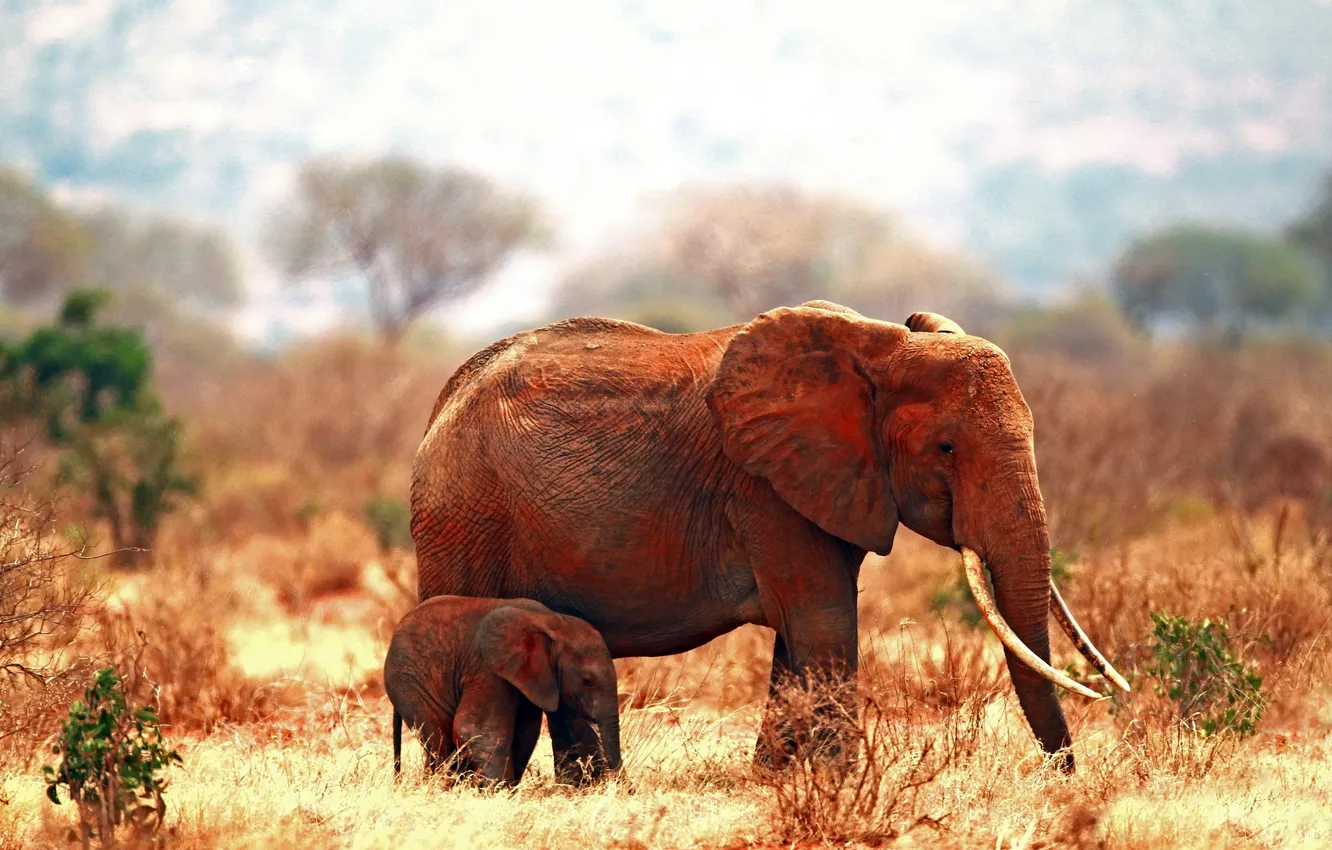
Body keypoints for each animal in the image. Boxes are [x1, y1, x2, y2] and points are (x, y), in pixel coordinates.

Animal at [384, 595, 622, 786]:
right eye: (588, 680)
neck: (548, 620)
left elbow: (526, 733)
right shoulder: (487, 668)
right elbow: (476, 730)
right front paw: (498, 792)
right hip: (408, 682)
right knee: (440, 740)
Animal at [409, 301, 1127, 772]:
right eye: (946, 448)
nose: (1062, 776)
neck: (878, 347)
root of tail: (442, 403)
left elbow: (801, 634)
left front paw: (775, 779)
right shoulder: (766, 492)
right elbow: (823, 621)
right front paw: (836, 785)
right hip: (463, 516)